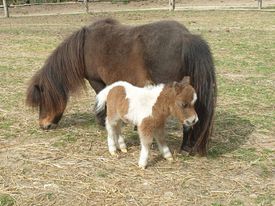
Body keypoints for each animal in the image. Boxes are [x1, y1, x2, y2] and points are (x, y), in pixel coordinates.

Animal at [25, 18, 217, 156]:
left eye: (43, 101)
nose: (44, 125)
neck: (84, 46)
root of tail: (186, 37)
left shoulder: (97, 82)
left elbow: (101, 102)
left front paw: (103, 123)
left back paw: (184, 147)